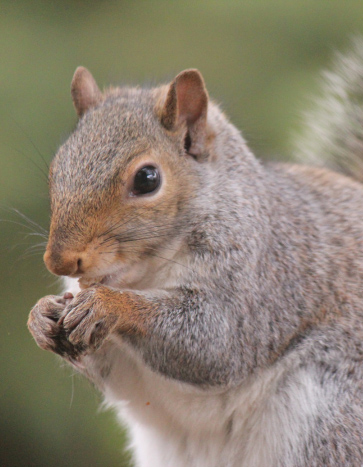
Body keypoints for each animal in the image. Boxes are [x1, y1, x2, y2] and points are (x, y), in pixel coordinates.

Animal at [28, 37, 363, 467]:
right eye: (56, 170)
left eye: (147, 178)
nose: (60, 260)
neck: (145, 273)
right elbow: (116, 373)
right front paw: (40, 316)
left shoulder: (261, 279)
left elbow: (216, 341)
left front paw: (109, 305)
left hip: (330, 418)